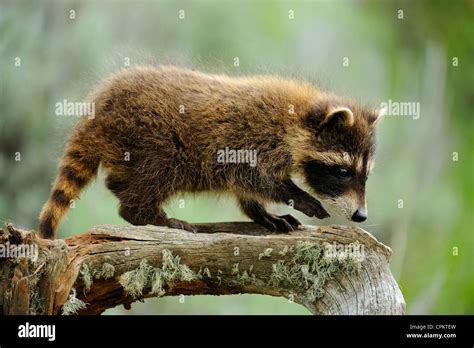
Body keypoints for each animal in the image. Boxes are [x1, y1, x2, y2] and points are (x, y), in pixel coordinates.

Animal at [39, 65, 384, 239]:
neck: (296, 118)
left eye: (366, 175)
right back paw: (147, 213)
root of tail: (98, 110)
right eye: (343, 172)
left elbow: (247, 188)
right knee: (154, 176)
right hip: (149, 139)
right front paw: (297, 196)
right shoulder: (250, 142)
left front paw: (261, 212)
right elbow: (257, 179)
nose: (361, 215)